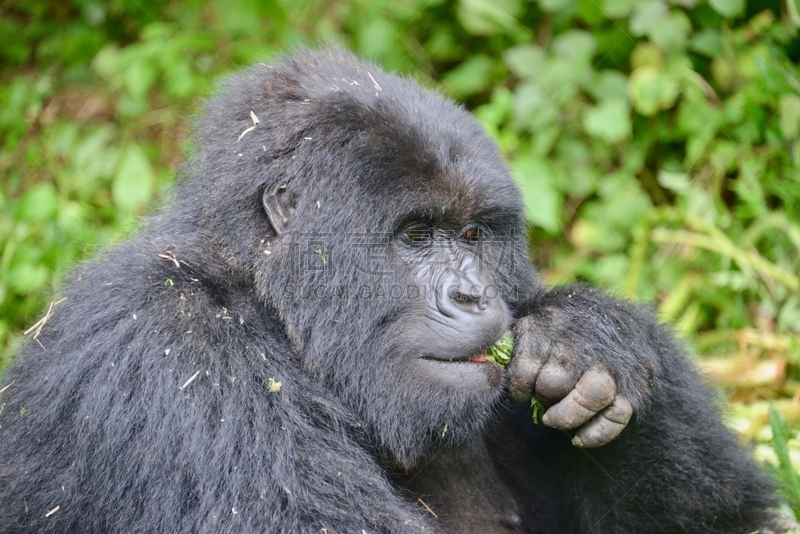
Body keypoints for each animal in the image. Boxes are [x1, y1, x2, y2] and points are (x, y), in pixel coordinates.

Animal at [0, 48, 784, 532]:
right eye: (415, 236)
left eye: (472, 235)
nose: (472, 299)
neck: (272, 308)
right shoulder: (176, 355)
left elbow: (725, 519)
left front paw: (593, 338)